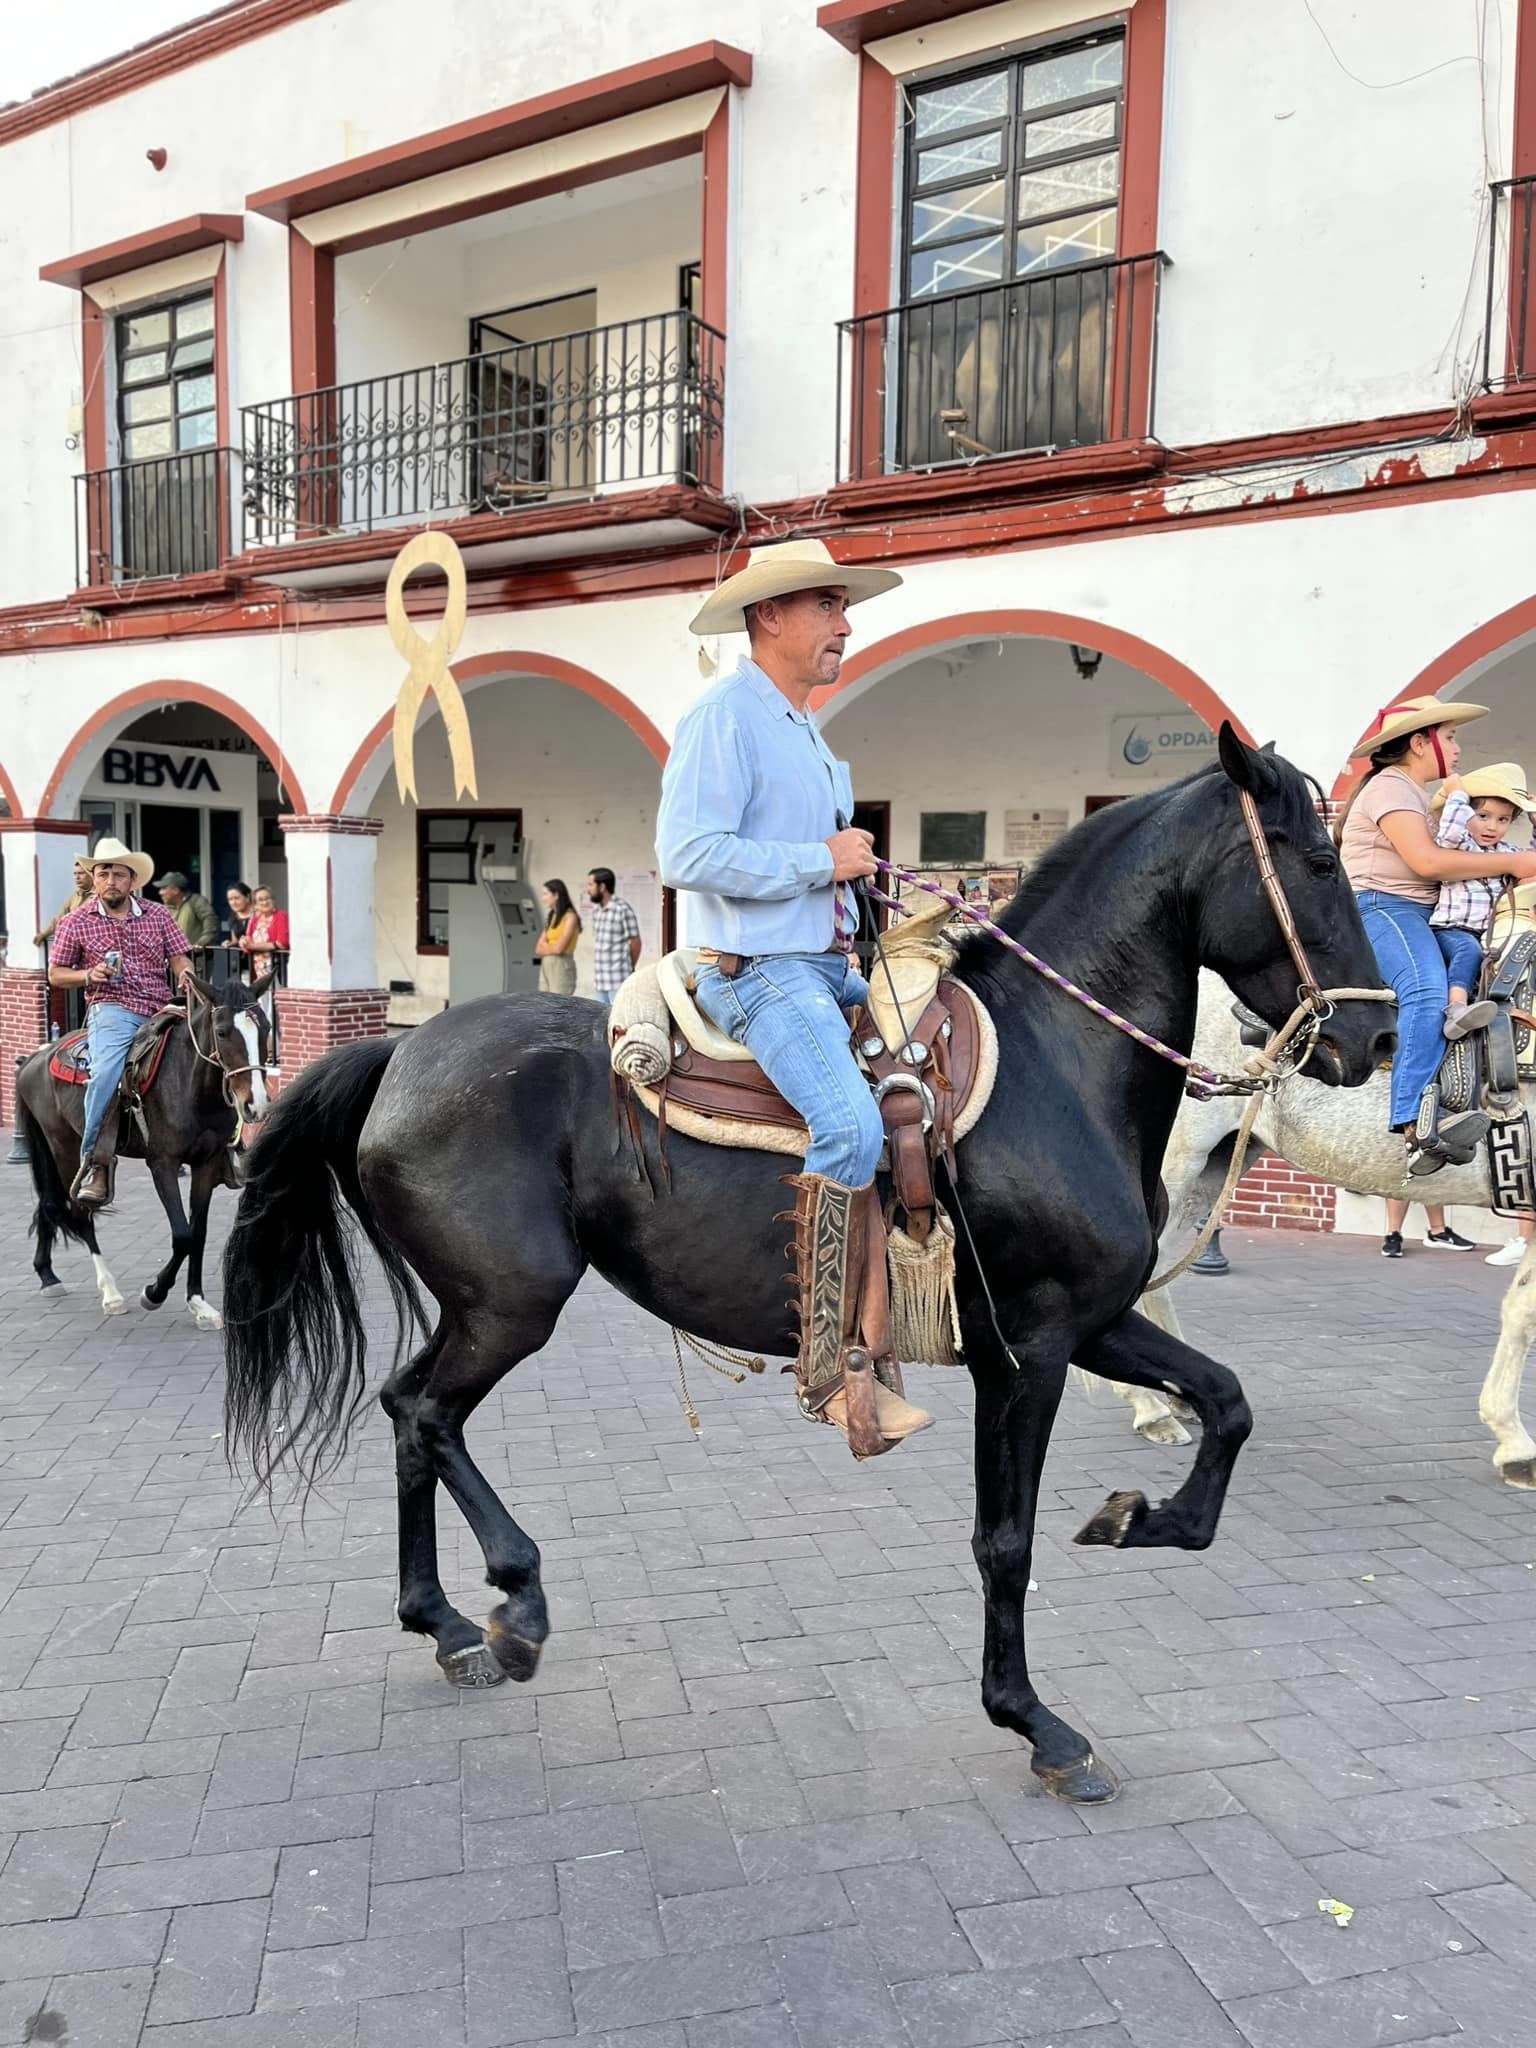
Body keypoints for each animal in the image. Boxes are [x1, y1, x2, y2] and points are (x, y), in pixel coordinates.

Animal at [15, 970, 276, 1327]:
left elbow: (198, 1233)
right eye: (222, 1032)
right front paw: (154, 1293)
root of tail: (35, 1058)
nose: (256, 1105)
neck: (189, 1083)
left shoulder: (206, 1164)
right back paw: (110, 1293)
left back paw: (47, 1275)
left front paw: (199, 1304)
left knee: (49, 1202)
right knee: (79, 1211)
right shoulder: (163, 1163)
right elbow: (182, 1235)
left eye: (266, 1028)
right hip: (63, 1146)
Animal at [225, 733, 1392, 1794]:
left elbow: (1226, 1400)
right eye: (1316, 860)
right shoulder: (1030, 1350)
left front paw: (1146, 1518)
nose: (1375, 1042)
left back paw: (445, 1622)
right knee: (426, 1414)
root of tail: (400, 1051)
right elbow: (1004, 1540)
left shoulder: (1095, 1320)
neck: (1055, 1063)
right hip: (511, 1303)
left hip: (481, 1307)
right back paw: (515, 1601)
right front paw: (1035, 1722)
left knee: (407, 1409)